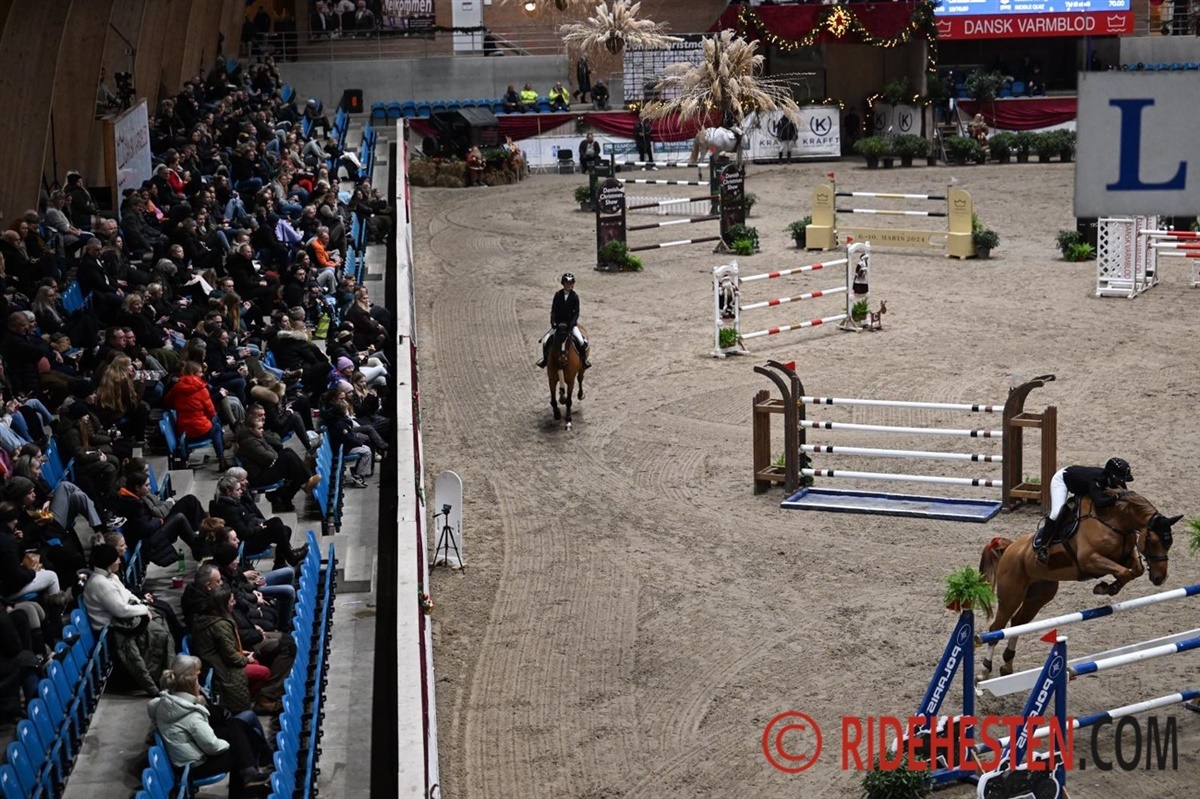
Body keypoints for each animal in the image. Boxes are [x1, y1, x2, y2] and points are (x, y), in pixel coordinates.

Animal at [976, 490, 1181, 684]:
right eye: (1153, 541)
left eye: (1169, 542)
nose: (1160, 578)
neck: (1114, 521)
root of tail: (1009, 548)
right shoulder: (1089, 559)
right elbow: (1126, 572)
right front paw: (1104, 587)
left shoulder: (1124, 556)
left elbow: (1135, 570)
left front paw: (1109, 586)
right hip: (1011, 596)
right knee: (997, 628)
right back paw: (984, 670)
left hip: (1038, 595)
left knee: (1018, 623)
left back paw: (1007, 665)